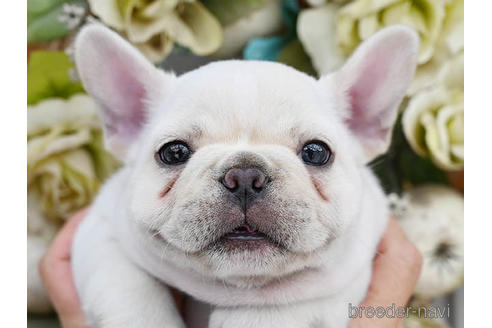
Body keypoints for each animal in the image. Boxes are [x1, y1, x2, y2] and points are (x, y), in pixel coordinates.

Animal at [72, 23, 418, 328]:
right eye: (173, 153)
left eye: (316, 152)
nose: (244, 176)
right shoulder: (100, 231)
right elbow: (130, 289)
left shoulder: (347, 276)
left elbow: (289, 298)